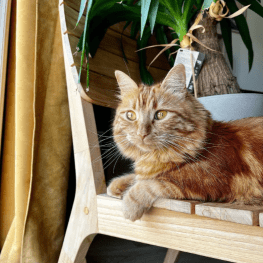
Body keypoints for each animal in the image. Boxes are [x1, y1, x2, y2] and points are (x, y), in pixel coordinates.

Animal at [107, 64, 263, 223]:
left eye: (160, 115)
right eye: (131, 115)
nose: (142, 133)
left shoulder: (204, 181)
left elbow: (152, 183)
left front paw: (129, 205)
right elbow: (138, 177)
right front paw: (117, 184)